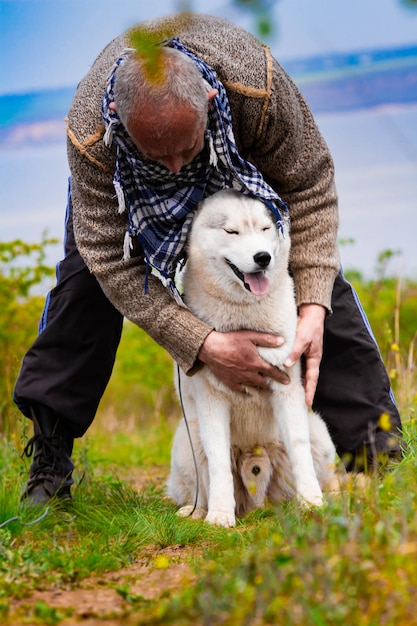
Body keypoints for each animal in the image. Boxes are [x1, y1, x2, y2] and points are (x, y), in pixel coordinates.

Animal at [167, 188, 338, 524]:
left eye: (265, 229)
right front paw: (220, 516)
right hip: (187, 440)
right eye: (231, 231)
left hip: (319, 431)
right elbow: (218, 463)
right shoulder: (212, 402)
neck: (245, 317)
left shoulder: (287, 389)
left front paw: (313, 504)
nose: (263, 257)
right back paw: (197, 511)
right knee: (200, 487)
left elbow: (299, 450)